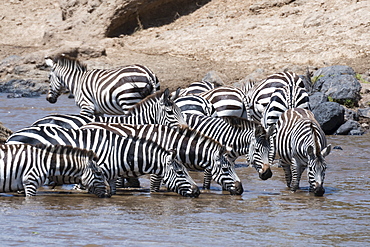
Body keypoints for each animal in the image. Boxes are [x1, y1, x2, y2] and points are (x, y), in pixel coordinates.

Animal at [5, 126, 201, 198]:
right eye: (181, 172)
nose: (198, 192)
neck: (119, 152)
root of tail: (12, 136)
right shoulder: (94, 174)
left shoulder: (112, 176)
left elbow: (112, 193)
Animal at [79, 123, 244, 195]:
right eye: (225, 169)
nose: (240, 190)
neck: (172, 142)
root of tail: (84, 126)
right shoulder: (157, 170)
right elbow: (155, 188)